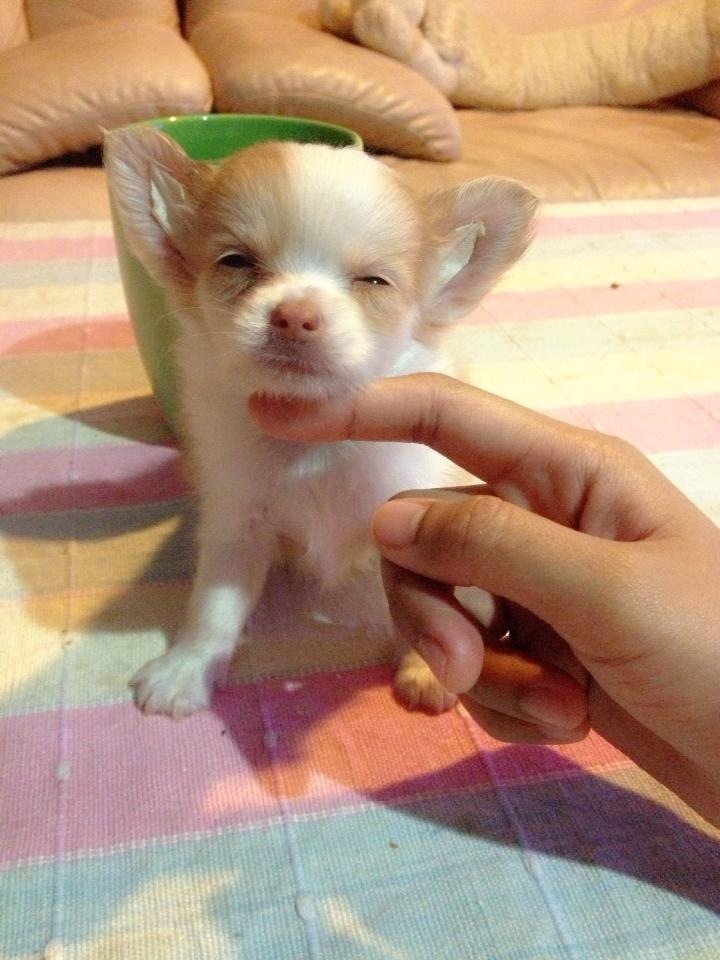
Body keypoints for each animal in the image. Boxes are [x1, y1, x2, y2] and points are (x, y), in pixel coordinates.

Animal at [104, 128, 537, 719]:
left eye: (373, 280)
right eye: (236, 261)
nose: (294, 314)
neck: (311, 441)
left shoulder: (411, 513)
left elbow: (435, 607)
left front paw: (428, 668)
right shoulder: (238, 522)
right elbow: (215, 603)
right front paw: (187, 668)